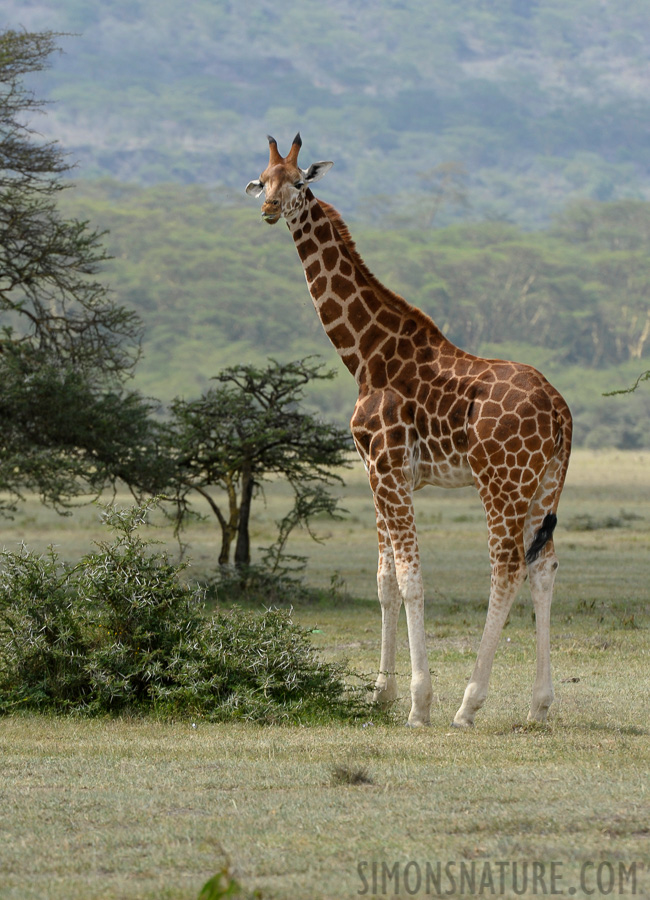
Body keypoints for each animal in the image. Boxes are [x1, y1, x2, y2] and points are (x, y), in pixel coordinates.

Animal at [246, 135, 568, 724]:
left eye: (299, 182)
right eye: (263, 180)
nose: (270, 210)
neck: (364, 355)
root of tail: (560, 409)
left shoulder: (388, 464)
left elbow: (412, 578)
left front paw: (419, 702)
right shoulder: (377, 471)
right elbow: (384, 581)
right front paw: (382, 694)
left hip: (501, 482)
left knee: (507, 567)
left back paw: (468, 704)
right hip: (545, 484)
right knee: (544, 568)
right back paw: (538, 706)